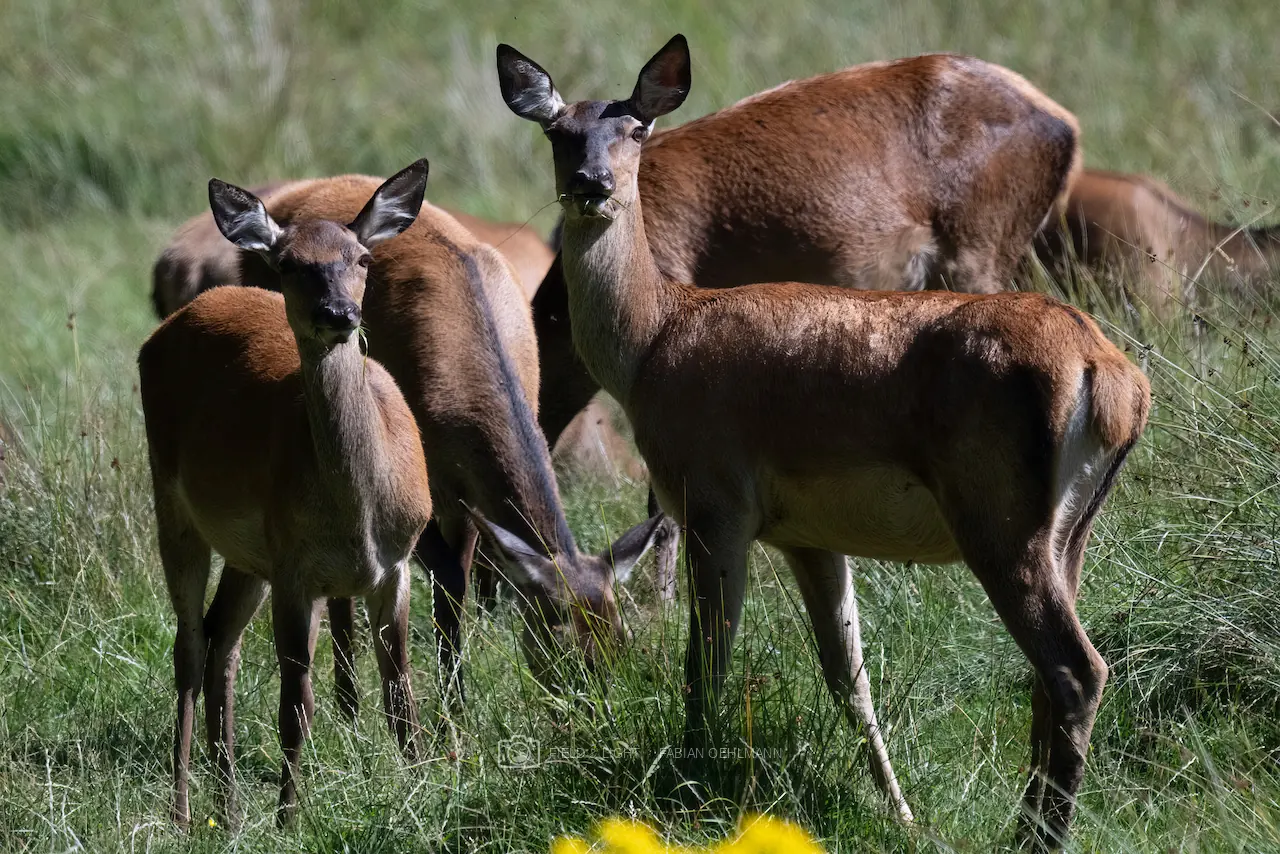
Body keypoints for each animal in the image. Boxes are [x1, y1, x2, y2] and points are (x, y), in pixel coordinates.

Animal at [139, 162, 434, 828]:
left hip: (250, 554)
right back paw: (184, 810)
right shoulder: (297, 569)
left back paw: (228, 807)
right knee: (188, 644)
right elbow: (295, 705)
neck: (358, 520)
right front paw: (289, 818)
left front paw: (425, 790)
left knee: (221, 638)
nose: (339, 312)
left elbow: (400, 692)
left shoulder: (398, 562)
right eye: (290, 263)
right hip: (173, 502)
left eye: (361, 258)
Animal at [230, 171, 664, 715]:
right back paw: (348, 703)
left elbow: (458, 579)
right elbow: (449, 582)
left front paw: (453, 701)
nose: (602, 718)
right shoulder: (423, 479)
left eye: (621, 640)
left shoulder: (466, 495)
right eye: (563, 646)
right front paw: (452, 708)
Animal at [498, 35, 1151, 849]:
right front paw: (899, 811)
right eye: (559, 132)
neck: (655, 341)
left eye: (634, 129)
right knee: (1050, 673)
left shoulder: (714, 498)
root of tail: (1113, 379)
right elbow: (849, 677)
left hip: (1000, 519)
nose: (592, 183)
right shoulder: (807, 535)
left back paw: (1035, 835)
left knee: (1075, 669)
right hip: (1071, 531)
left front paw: (692, 784)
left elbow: (705, 662)